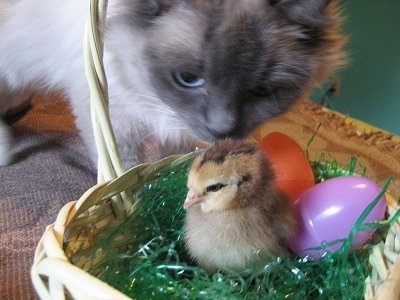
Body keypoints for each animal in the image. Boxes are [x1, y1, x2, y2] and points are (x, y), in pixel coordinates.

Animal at [0, 0, 346, 169]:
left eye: (261, 91)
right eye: (188, 79)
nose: (222, 129)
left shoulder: (176, 126)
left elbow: (170, 161)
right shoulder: (114, 118)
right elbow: (125, 172)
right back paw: (6, 156)